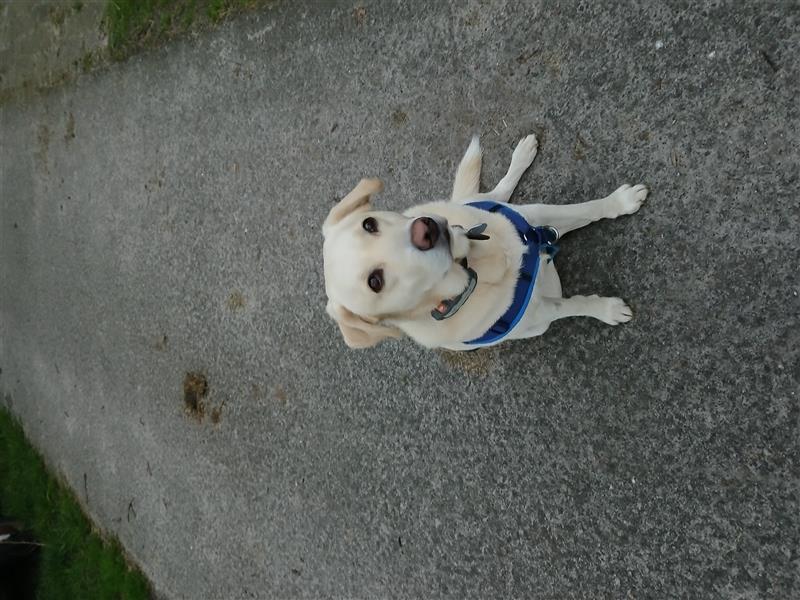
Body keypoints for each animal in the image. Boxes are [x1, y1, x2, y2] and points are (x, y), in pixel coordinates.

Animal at [322, 133, 648, 350]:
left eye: (369, 224)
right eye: (375, 282)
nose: (425, 230)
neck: (484, 261)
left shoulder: (537, 217)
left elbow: (586, 209)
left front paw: (621, 202)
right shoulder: (540, 314)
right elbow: (574, 305)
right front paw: (607, 310)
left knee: (499, 193)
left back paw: (522, 155)